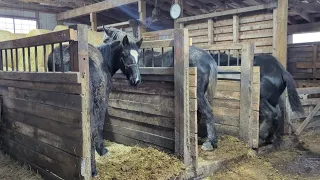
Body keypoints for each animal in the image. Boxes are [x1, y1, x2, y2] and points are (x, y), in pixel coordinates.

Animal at [47, 33, 142, 176]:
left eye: (139, 56)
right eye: (124, 54)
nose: (136, 80)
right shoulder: (102, 100)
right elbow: (99, 126)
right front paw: (101, 150)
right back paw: (92, 169)